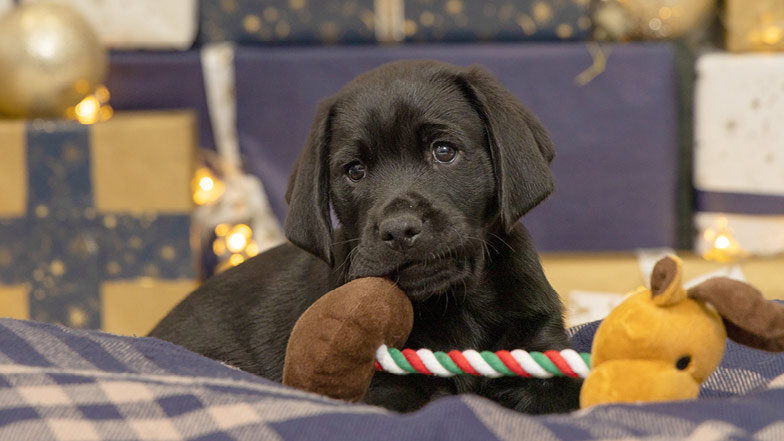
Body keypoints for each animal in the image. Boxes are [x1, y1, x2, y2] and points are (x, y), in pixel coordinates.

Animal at [152, 60, 580, 414]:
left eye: (444, 151)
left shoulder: (541, 351)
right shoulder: (383, 389)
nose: (399, 230)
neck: (459, 306)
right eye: (354, 171)